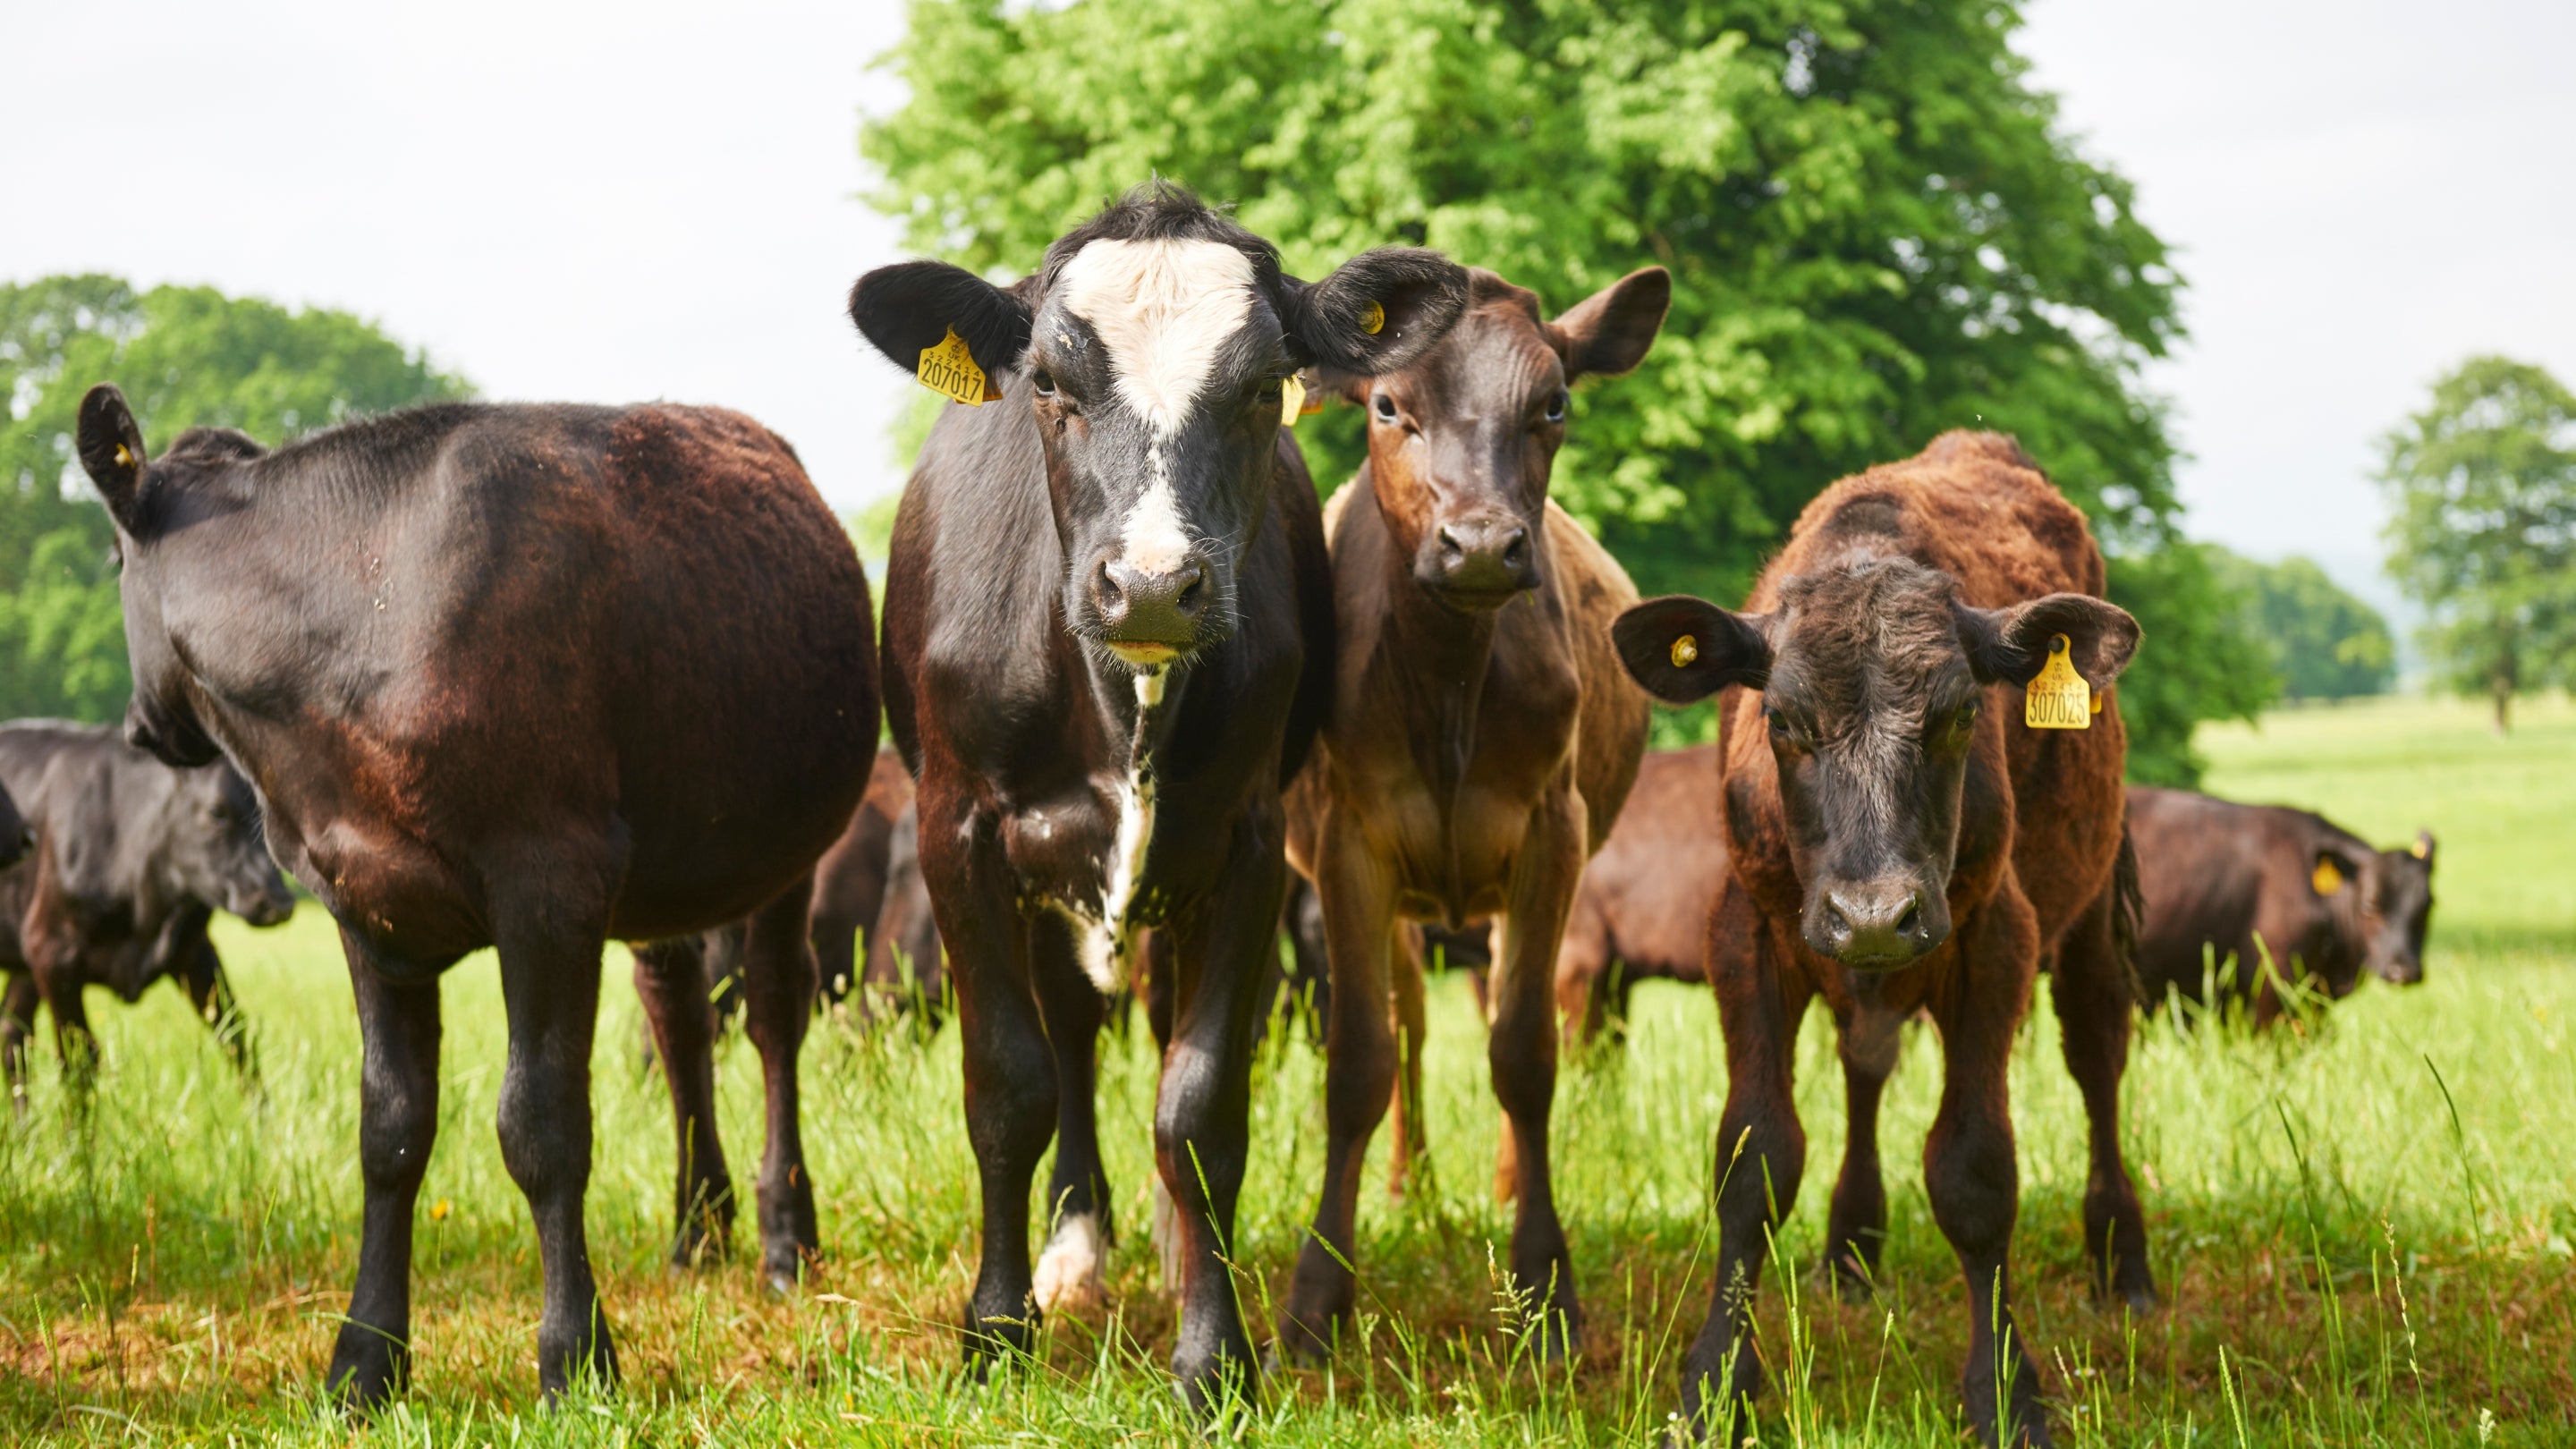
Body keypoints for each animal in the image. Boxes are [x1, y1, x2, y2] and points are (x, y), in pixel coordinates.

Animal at [0, 722, 294, 1099]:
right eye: (216, 811)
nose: (277, 903)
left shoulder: (194, 950)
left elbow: (235, 1036)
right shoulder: (52, 952)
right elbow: (79, 1061)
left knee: (12, 1037)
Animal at [75, 385, 879, 1407]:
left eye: (112, 561)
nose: (140, 727)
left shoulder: (551, 883)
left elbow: (541, 1126)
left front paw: (576, 1357)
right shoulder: (362, 902)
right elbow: (389, 1129)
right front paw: (365, 1359)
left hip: (785, 852)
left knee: (776, 1015)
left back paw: (785, 1238)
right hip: (670, 867)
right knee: (680, 1017)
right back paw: (699, 1228)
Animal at [844, 182, 1468, 1411]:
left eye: (1265, 384)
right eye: (1048, 381)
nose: (1148, 586)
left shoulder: (1250, 843)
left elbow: (1201, 1104)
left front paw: (1212, 1353)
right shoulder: (958, 831)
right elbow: (1010, 1086)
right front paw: (997, 1329)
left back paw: (1179, 1253)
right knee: (1073, 1036)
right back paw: (1076, 1248)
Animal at [1275, 265, 1664, 1360]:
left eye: (1555, 403)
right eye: (1387, 406)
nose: (1483, 546)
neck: (1448, 677)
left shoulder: (1550, 835)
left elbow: (1524, 1053)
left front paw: (1545, 1282)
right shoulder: (1351, 846)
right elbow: (1360, 1060)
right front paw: (1318, 1296)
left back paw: (1492, 1185)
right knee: (1409, 1023)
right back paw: (1411, 1185)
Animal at [1613, 432, 2147, 1447]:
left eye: (1962, 715)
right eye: (1781, 721)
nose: (1874, 914)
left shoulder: (1995, 934)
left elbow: (1975, 1171)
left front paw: (2005, 1392)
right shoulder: (1746, 933)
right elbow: (1754, 1160)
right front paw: (1716, 1384)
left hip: (2092, 915)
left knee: (2099, 1061)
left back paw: (2123, 1261)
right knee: (1864, 1071)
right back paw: (1852, 1252)